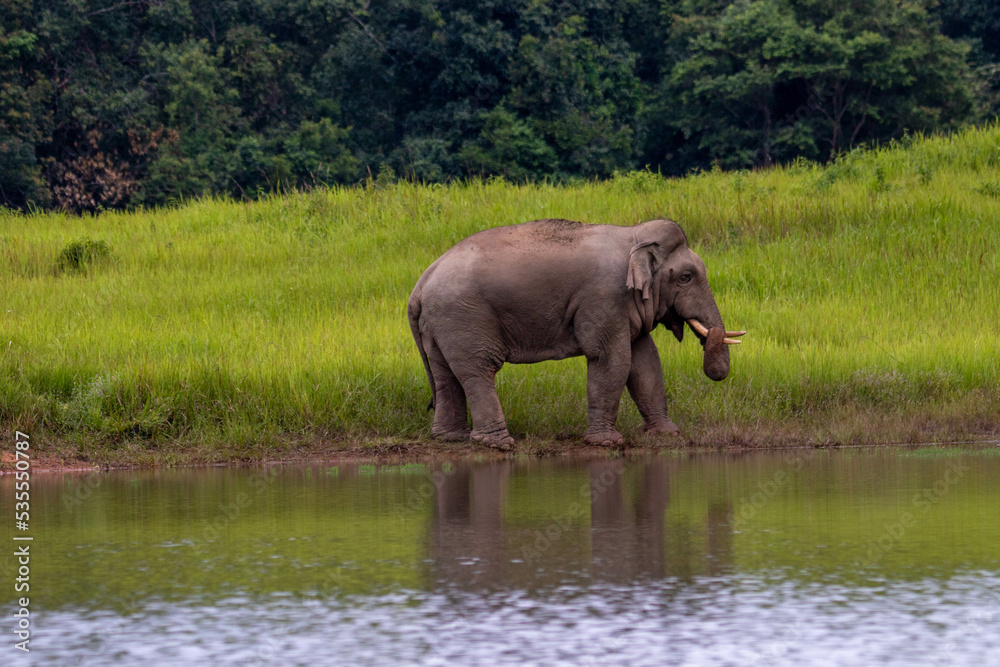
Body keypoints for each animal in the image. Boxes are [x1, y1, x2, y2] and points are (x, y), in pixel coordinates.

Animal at [407, 218, 744, 448]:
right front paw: (607, 442)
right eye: (686, 277)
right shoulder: (606, 296)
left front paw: (667, 435)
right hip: (464, 317)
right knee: (479, 369)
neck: (633, 235)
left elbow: (645, 361)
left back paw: (450, 438)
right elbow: (612, 359)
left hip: (440, 324)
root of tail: (420, 284)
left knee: (445, 374)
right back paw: (498, 443)